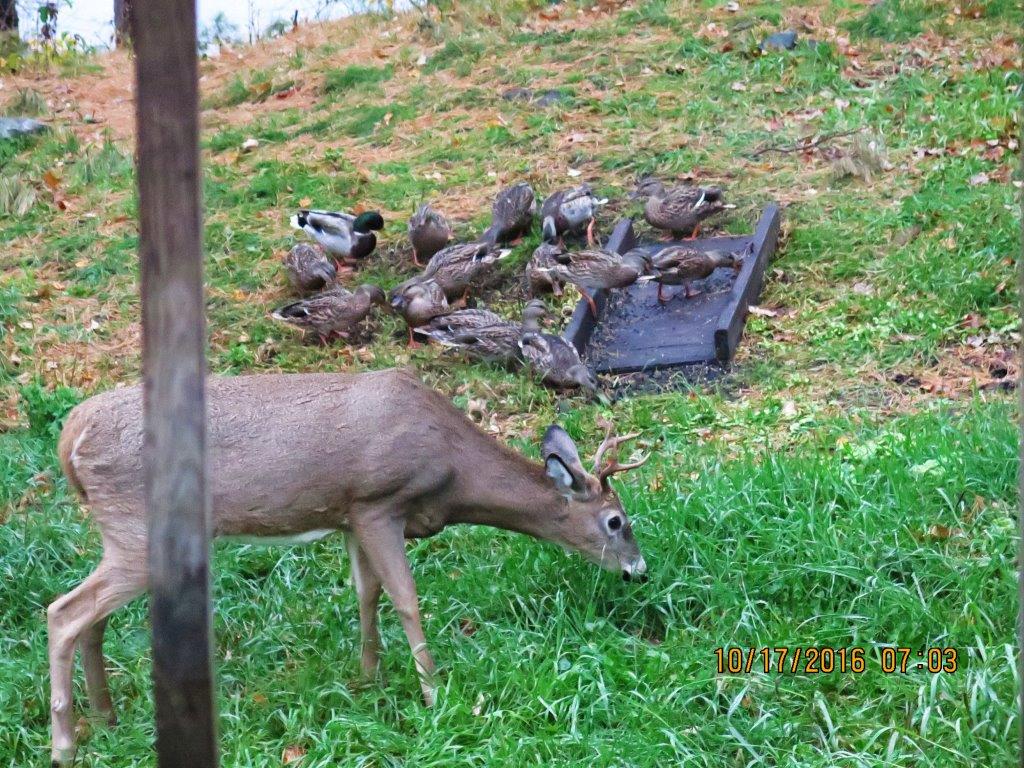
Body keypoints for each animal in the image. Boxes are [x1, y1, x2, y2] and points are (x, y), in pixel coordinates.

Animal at [48, 368, 650, 766]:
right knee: (63, 612)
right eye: (616, 521)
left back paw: (105, 718)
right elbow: (406, 598)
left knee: (92, 619)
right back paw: (65, 745)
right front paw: (433, 694)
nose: (640, 570)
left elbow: (367, 593)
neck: (452, 470)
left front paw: (367, 678)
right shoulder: (379, 502)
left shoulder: (351, 516)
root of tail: (69, 436)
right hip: (137, 529)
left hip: (124, 534)